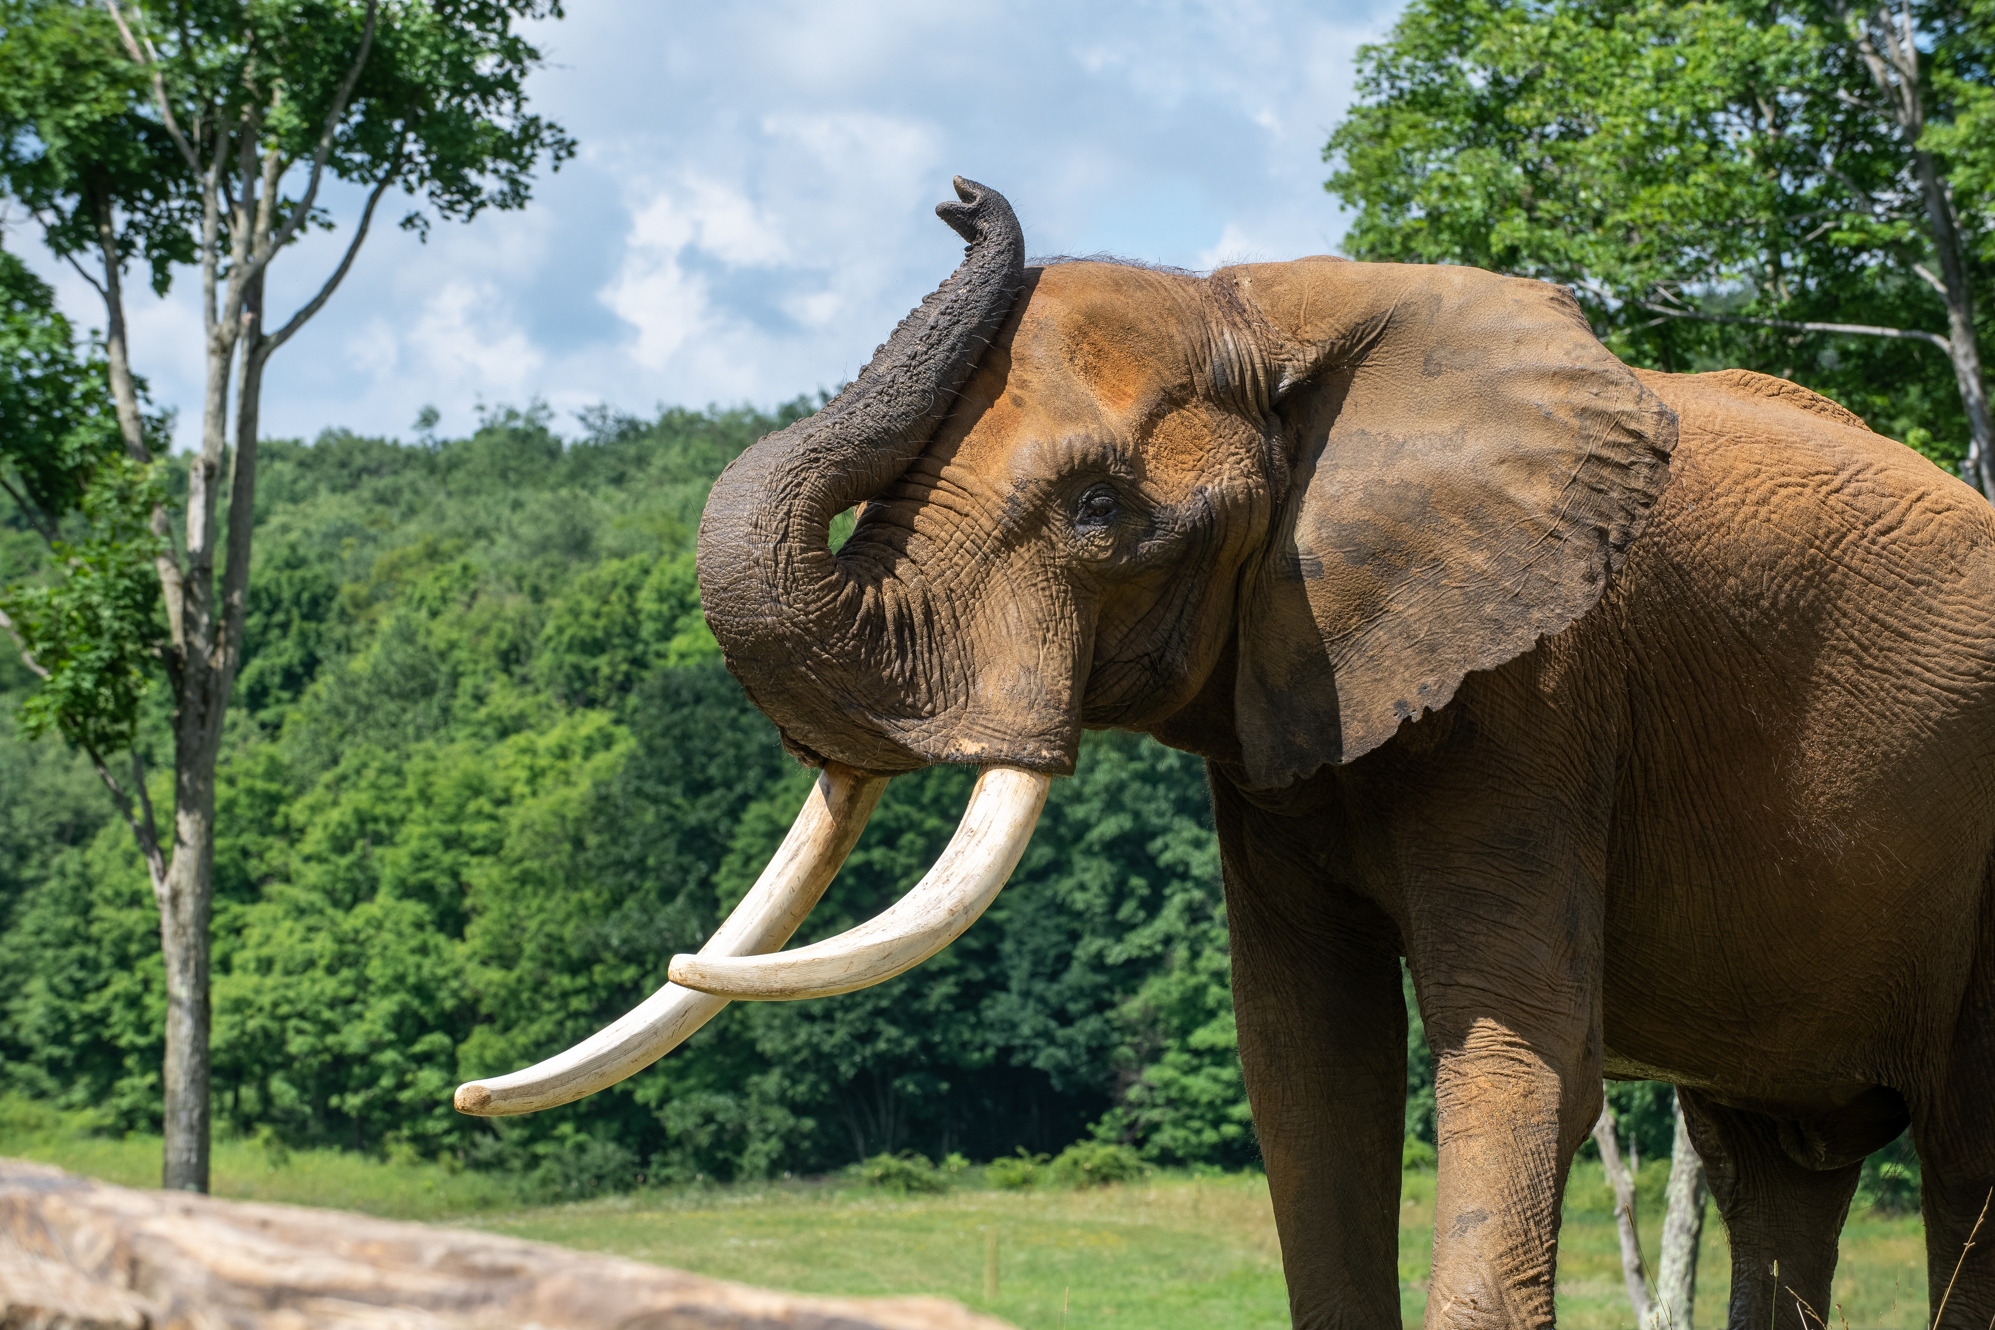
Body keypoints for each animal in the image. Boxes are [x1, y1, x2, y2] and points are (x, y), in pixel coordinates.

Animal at [458, 179, 1995, 1330]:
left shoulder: (1546, 697)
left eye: (1098, 513)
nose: (963, 199)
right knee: (1771, 1166)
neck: (1266, 313)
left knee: (1960, 1148)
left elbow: (1513, 1050)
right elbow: (1305, 1061)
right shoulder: (1280, 719)